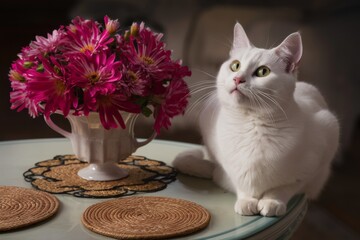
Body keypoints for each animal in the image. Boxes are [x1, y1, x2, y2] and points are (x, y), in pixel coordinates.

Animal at [173, 23, 338, 217]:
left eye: (263, 71)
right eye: (235, 66)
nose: (238, 78)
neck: (252, 126)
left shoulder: (319, 152)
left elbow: (286, 186)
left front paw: (272, 201)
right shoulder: (229, 168)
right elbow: (240, 183)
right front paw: (247, 201)